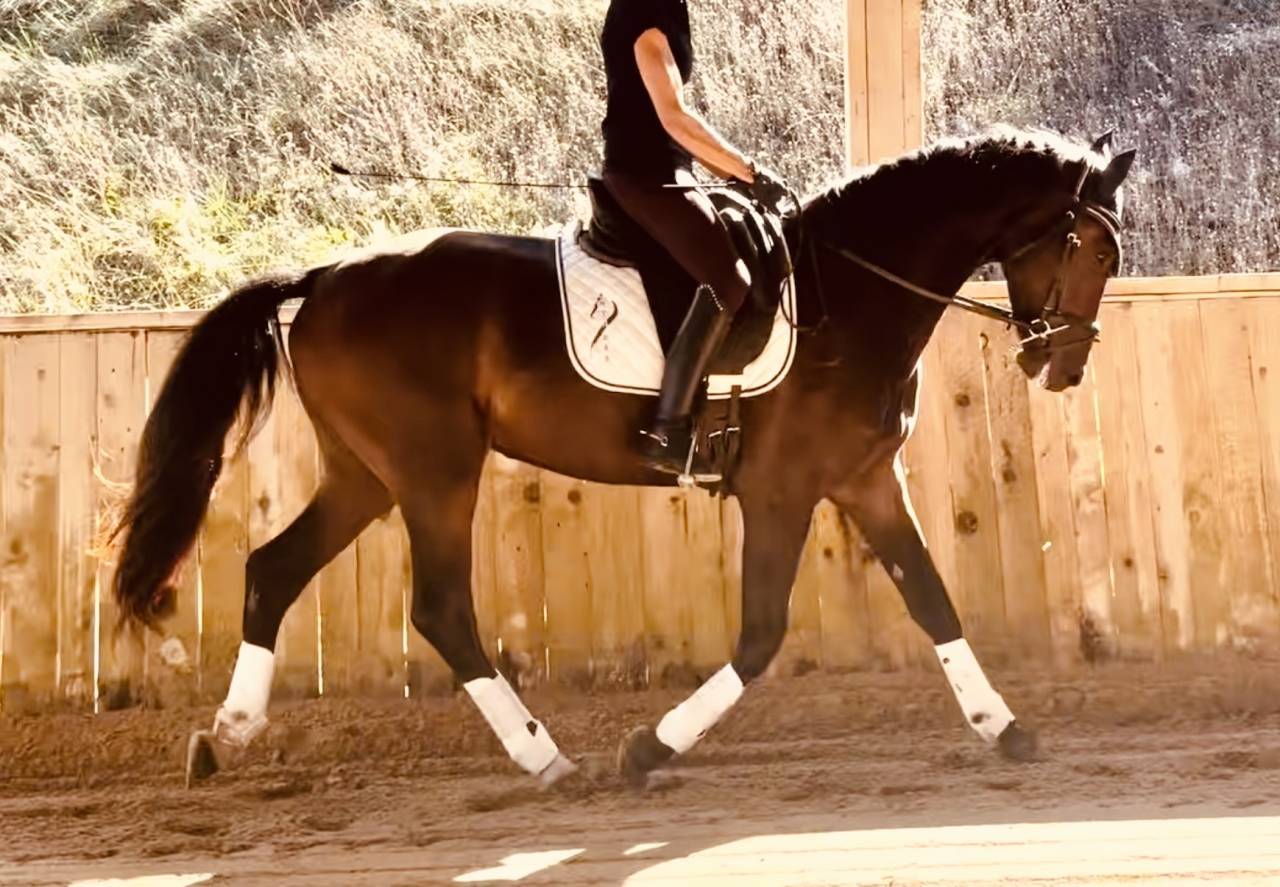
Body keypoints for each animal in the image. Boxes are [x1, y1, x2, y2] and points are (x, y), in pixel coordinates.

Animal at [110, 125, 1135, 789]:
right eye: (1094, 250)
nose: (1065, 364)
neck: (853, 291)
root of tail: (323, 276)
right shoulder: (783, 489)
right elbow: (761, 636)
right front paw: (647, 749)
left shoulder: (864, 478)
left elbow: (931, 598)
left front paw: (1007, 729)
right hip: (434, 469)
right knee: (438, 607)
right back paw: (547, 756)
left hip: (366, 472)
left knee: (273, 569)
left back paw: (226, 738)